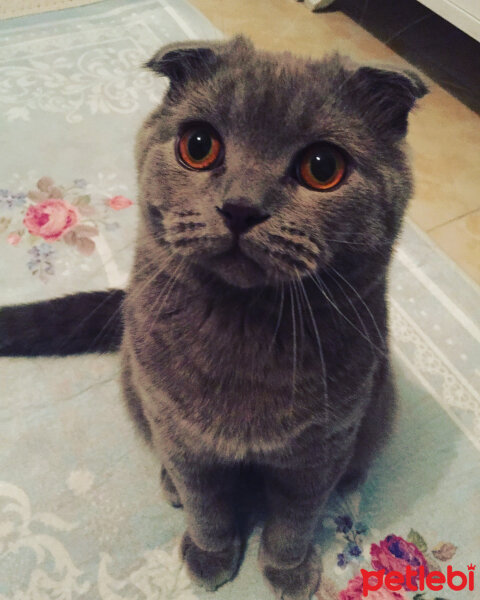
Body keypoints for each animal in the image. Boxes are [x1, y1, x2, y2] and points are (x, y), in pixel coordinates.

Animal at [0, 36, 428, 600]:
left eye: (322, 166)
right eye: (198, 145)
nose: (240, 207)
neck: (244, 330)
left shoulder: (319, 448)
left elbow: (296, 518)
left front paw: (289, 570)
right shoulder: (181, 435)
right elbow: (206, 505)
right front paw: (210, 556)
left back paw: (350, 480)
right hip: (135, 386)